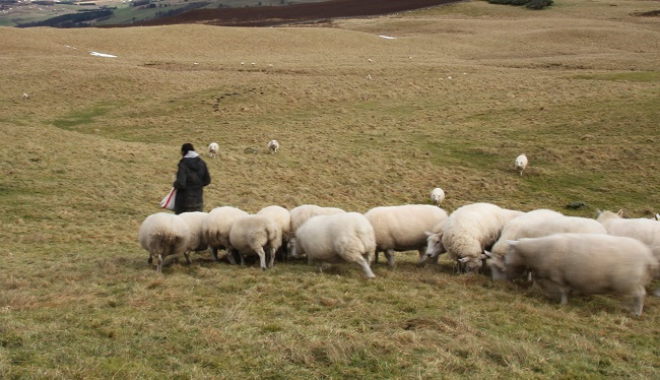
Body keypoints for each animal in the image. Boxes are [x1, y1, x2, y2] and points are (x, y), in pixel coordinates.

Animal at [502, 233, 656, 316]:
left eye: (509, 250)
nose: (504, 264)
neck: (537, 251)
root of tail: (648, 257)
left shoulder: (558, 276)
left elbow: (563, 291)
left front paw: (563, 303)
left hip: (629, 281)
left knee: (640, 294)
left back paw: (637, 312)